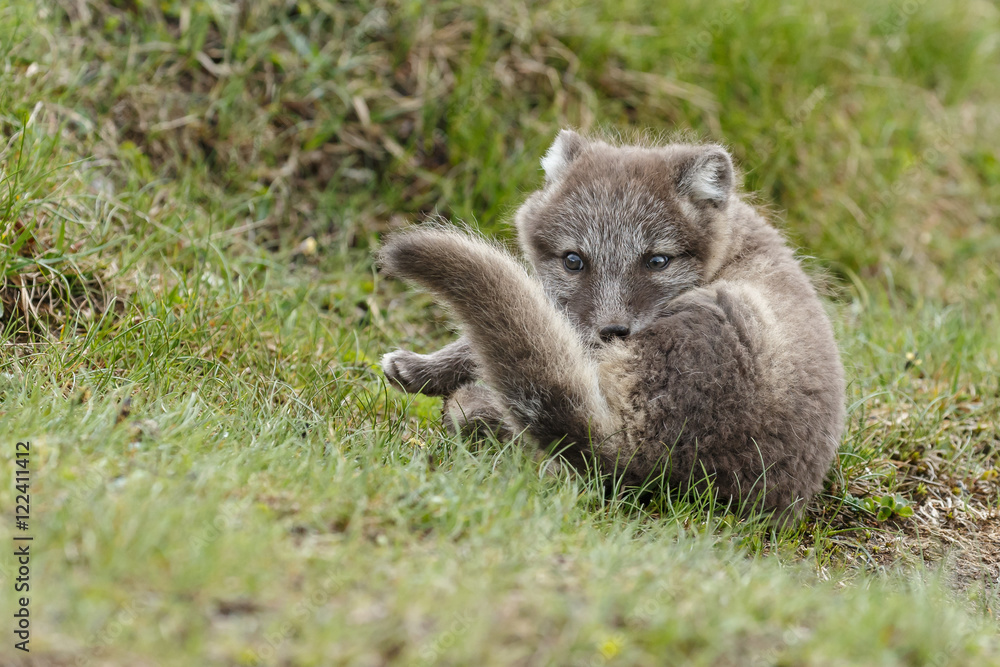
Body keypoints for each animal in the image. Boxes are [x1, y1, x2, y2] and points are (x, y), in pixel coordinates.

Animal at [379, 130, 845, 523]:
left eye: (657, 260)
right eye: (573, 260)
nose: (613, 331)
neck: (733, 243)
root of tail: (647, 456)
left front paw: (428, 372)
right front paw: (421, 369)